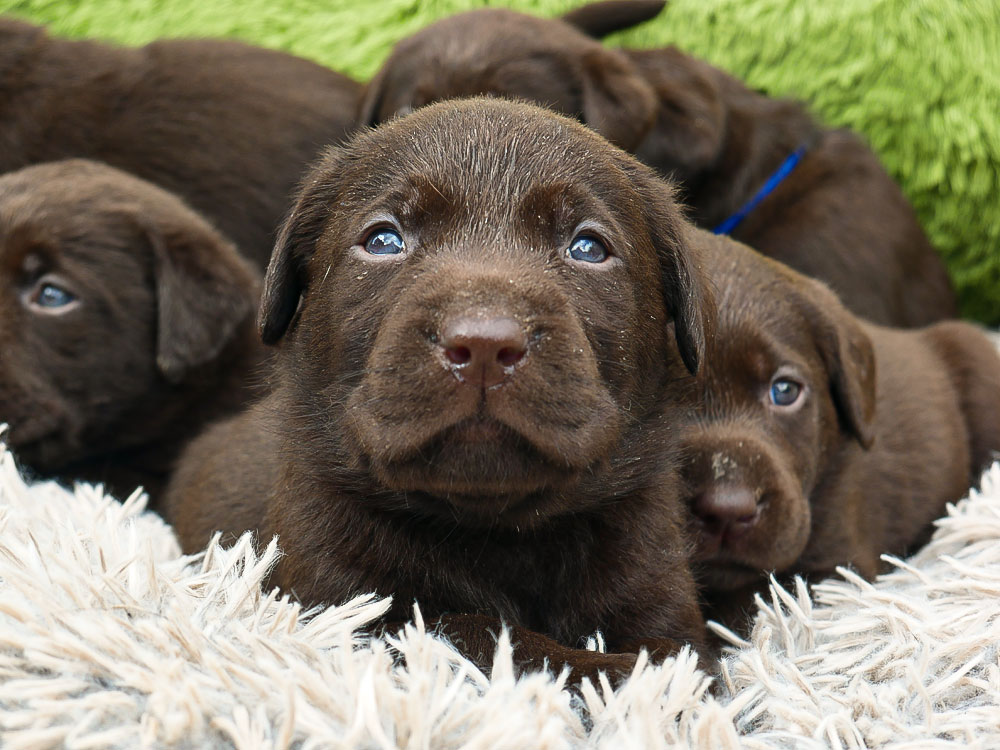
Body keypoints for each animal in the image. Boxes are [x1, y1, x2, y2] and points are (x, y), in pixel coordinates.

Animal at [164, 98, 715, 679]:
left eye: (588, 248)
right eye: (384, 241)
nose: (484, 344)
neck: (496, 532)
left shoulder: (656, 585)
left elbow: (677, 656)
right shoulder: (340, 601)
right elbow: (478, 635)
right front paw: (612, 671)